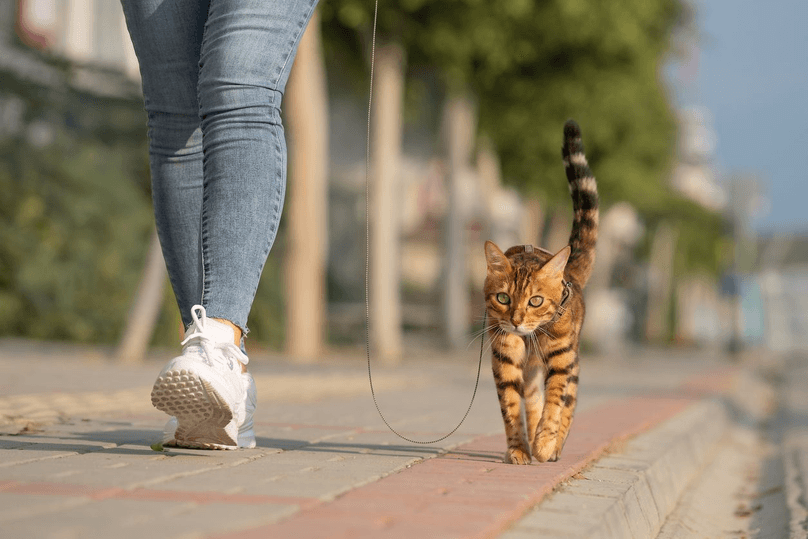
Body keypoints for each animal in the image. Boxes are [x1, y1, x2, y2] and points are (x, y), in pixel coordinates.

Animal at [482, 121, 596, 464]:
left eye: (536, 301)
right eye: (503, 298)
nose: (517, 321)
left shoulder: (562, 358)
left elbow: (556, 401)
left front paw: (546, 442)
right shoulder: (504, 355)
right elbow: (510, 407)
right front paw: (518, 448)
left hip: (572, 359)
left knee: (569, 400)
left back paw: (553, 447)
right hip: (530, 370)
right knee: (532, 398)